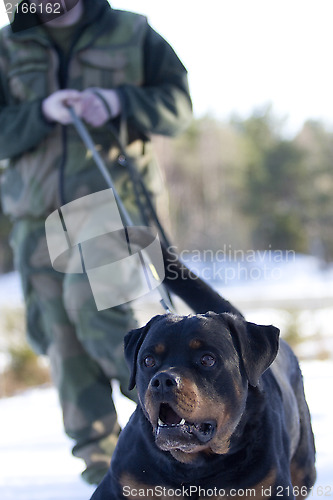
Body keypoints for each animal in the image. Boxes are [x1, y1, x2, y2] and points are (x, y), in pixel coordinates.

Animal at [90, 244, 314, 498]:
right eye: (148, 360)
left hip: (304, 466)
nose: (162, 380)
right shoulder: (126, 480)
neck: (194, 469)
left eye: (207, 359)